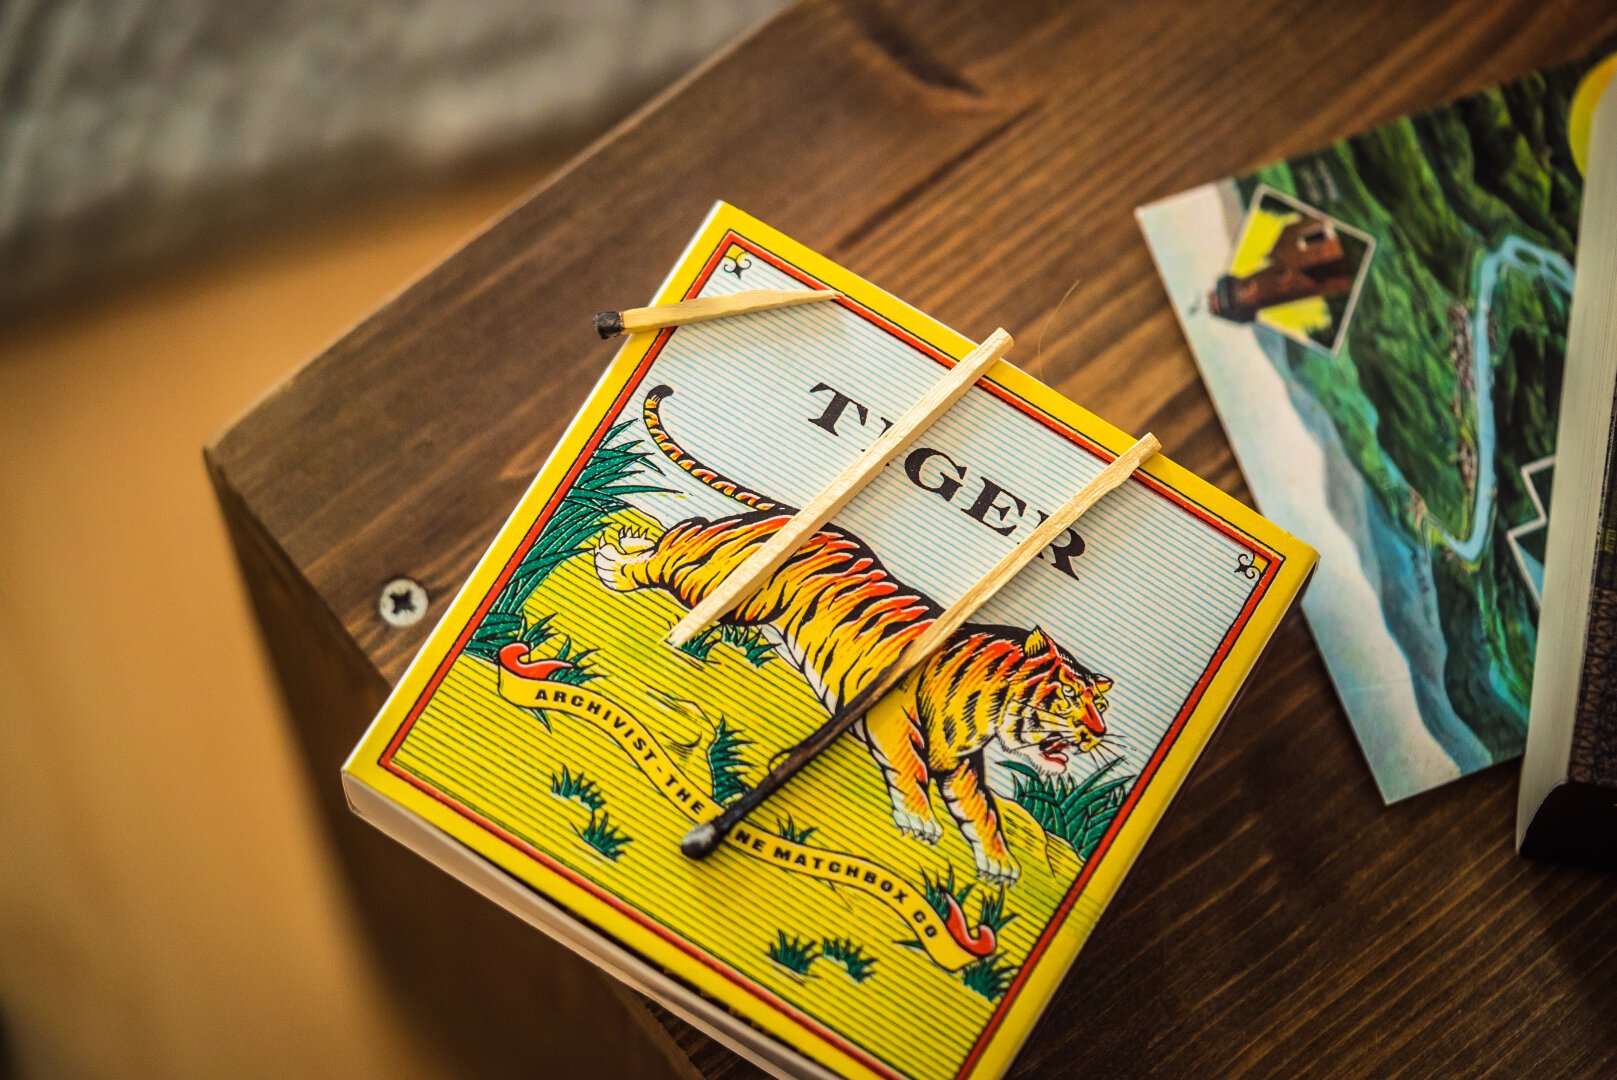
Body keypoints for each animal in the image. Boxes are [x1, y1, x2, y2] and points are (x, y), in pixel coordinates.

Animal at [595, 383, 1112, 879]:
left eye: (1101, 706)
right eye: (1068, 696)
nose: (1096, 734)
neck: (985, 710)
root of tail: (802, 519)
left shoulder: (961, 766)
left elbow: (982, 810)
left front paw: (999, 863)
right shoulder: (892, 717)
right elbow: (909, 769)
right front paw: (920, 821)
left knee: (684, 535)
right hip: (730, 586)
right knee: (679, 547)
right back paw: (615, 564)